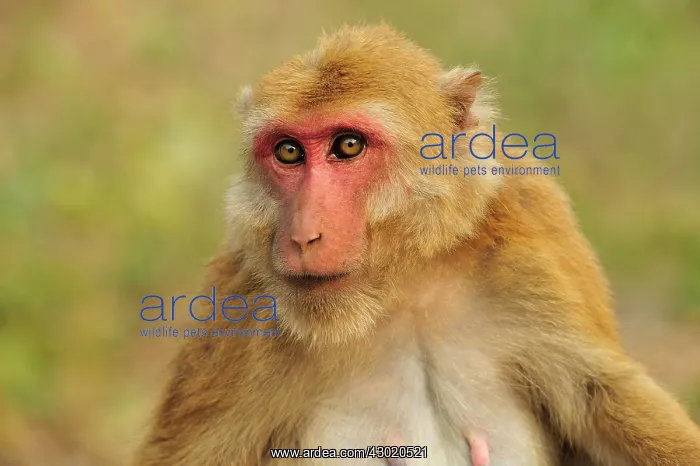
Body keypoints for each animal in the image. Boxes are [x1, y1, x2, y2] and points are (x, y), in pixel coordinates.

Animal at [134, 24, 700, 466]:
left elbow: (598, 394)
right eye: (289, 152)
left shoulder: (532, 232)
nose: (301, 233)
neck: (400, 292)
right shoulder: (243, 304)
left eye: (348, 145)